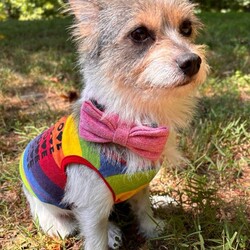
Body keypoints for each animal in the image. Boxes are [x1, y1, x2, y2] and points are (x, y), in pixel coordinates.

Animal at [18, 0, 208, 249]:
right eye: (139, 34)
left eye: (186, 28)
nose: (193, 61)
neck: (128, 121)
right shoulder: (91, 206)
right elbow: (95, 234)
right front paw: (108, 235)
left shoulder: (139, 183)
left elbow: (143, 206)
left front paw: (151, 228)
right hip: (54, 216)